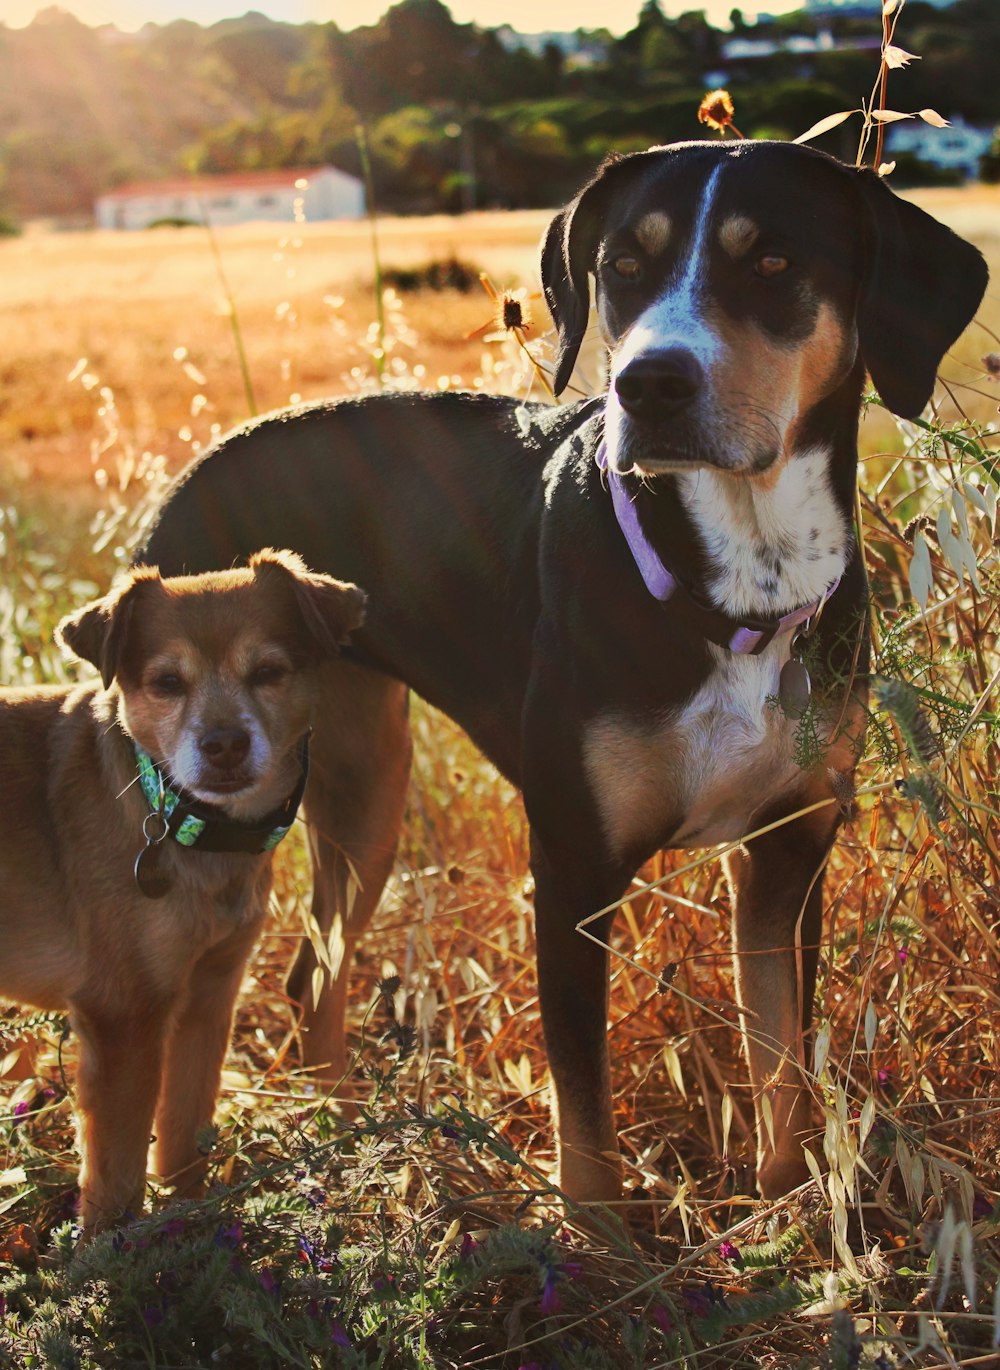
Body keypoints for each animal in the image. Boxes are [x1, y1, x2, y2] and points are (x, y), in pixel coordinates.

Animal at [0, 545, 361, 1233]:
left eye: (268, 672)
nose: (224, 744)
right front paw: (111, 1252)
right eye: (167, 683)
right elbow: (116, 1175)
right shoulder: (123, 1016)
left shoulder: (209, 994)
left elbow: (181, 1133)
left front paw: (192, 1222)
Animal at [140, 141, 991, 1211]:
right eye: (624, 266)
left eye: (773, 263)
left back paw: (345, 1143)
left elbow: (784, 1073)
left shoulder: (788, 853)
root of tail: (185, 478)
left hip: (365, 779)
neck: (737, 588)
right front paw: (608, 1246)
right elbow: (585, 1122)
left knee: (314, 974)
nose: (650, 385)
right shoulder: (575, 863)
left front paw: (791, 1210)